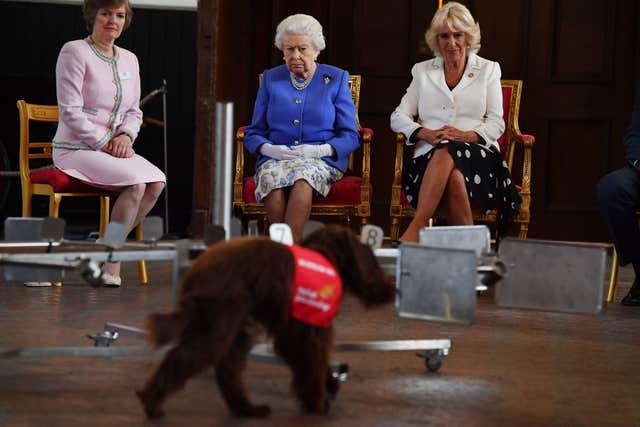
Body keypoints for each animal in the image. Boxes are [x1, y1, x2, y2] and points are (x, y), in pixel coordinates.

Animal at [136, 226, 396, 420]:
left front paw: (329, 385)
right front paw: (318, 401)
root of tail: (195, 272)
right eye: (372, 262)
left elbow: (314, 364)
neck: (326, 258)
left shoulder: (293, 334)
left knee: (227, 370)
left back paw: (246, 408)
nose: (392, 288)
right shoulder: (309, 332)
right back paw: (151, 403)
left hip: (234, 328)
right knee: (182, 358)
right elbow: (315, 363)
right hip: (218, 325)